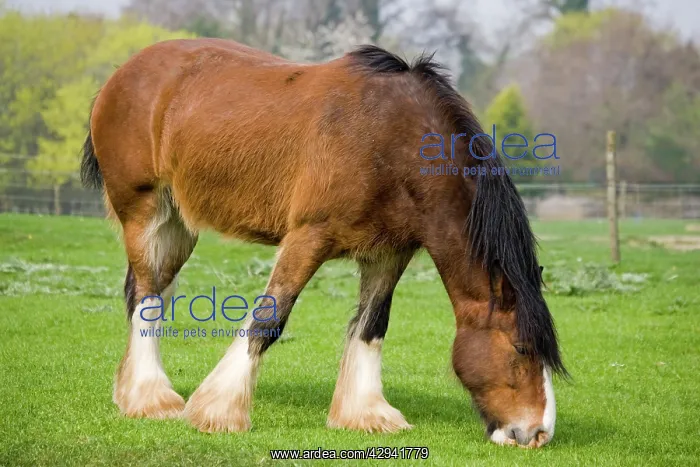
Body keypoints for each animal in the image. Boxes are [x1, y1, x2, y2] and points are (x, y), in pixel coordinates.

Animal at [81, 38, 565, 448]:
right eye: (522, 348)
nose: (537, 433)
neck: (391, 139)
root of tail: (122, 74)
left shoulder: (388, 253)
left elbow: (372, 326)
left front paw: (365, 413)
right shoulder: (308, 237)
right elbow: (269, 318)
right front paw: (219, 410)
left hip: (179, 227)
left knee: (144, 291)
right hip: (145, 213)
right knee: (147, 295)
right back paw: (151, 398)